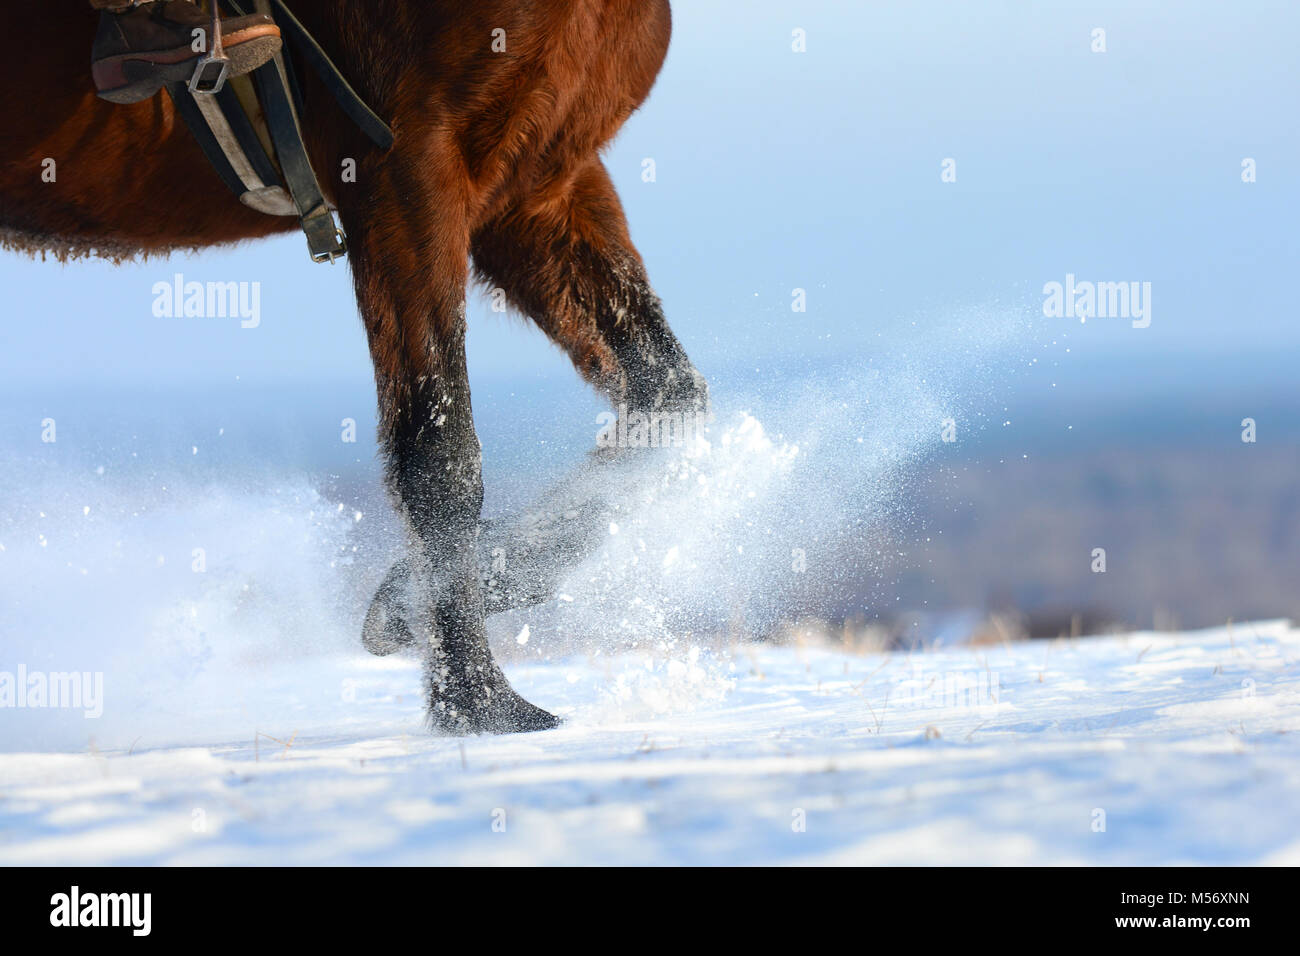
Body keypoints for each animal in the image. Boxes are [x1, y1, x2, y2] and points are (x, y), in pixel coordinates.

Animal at [0, 1, 709, 734]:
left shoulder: (538, 185)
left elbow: (668, 404)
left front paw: (409, 605)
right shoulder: (405, 172)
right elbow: (439, 456)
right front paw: (479, 704)